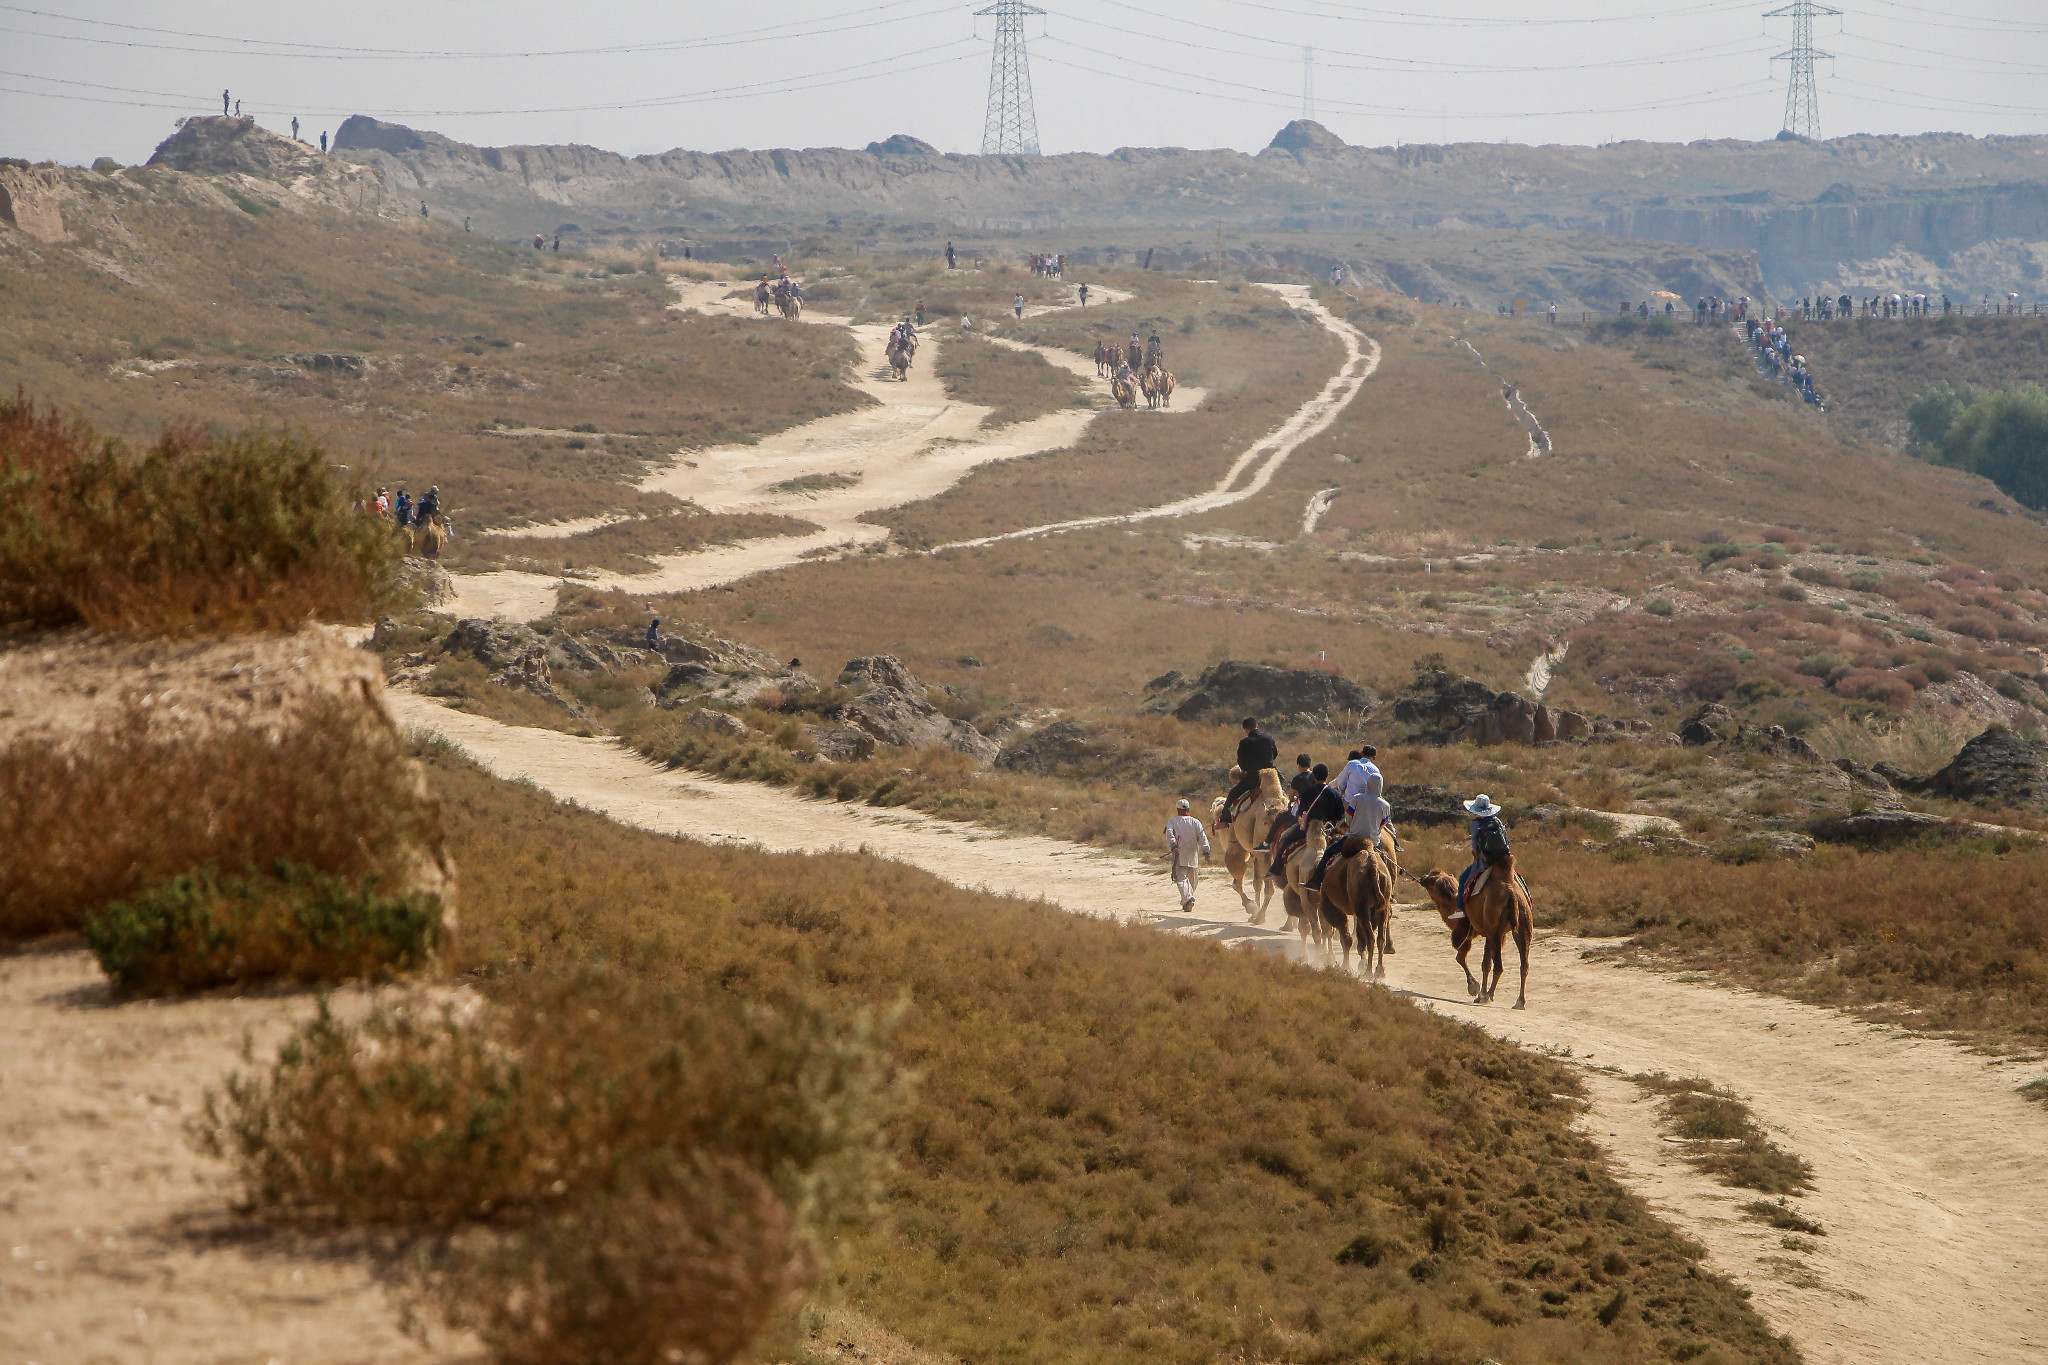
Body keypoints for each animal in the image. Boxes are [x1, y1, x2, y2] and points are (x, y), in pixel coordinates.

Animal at [1204, 773, 1286, 912]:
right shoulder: (1257, 852)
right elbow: (1257, 883)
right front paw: (1254, 908)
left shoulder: (1241, 849)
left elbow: (1240, 883)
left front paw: (1252, 908)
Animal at [1417, 859, 1531, 1010]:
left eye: (1431, 879)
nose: (1422, 877)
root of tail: (1512, 893)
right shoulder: (1490, 934)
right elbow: (1485, 963)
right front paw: (1479, 992)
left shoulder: (1468, 932)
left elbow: (1461, 957)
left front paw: (1475, 988)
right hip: (1523, 925)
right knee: (1524, 964)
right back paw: (1519, 1001)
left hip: (1495, 929)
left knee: (1499, 966)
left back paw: (1488, 995)